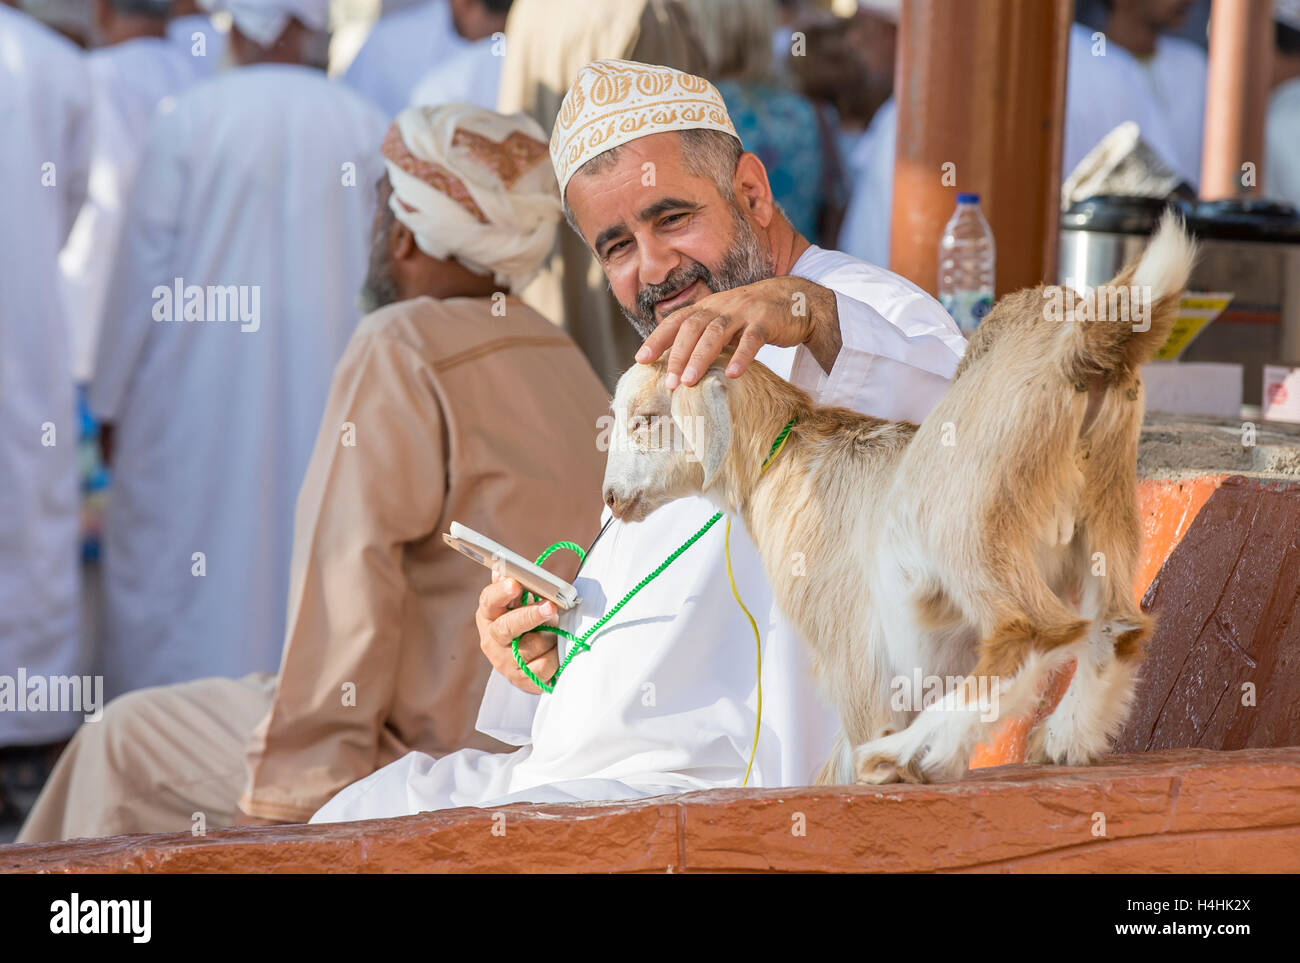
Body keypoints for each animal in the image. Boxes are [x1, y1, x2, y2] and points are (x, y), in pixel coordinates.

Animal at [603, 210, 1190, 779]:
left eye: (646, 419)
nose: (610, 497)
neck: (783, 453)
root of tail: (1082, 346)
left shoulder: (850, 640)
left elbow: (860, 729)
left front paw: (875, 769)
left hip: (963, 525)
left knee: (1032, 630)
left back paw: (919, 749)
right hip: (1107, 513)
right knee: (1117, 629)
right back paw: (1067, 737)